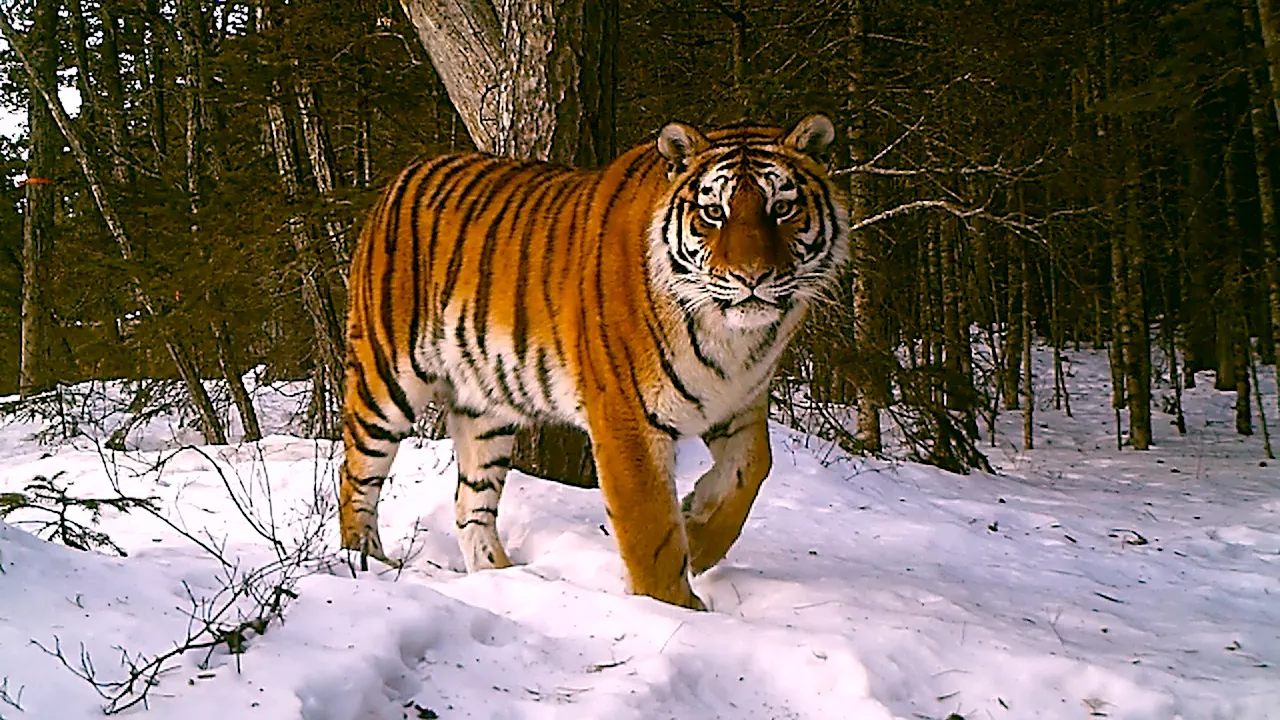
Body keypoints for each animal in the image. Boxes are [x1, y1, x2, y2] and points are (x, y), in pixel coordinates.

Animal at [340, 114, 855, 607]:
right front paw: (675, 608)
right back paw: (364, 562)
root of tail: (407, 172)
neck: (735, 340)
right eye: (714, 213)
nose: (752, 277)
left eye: (782, 208)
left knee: (472, 504)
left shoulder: (738, 401)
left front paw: (698, 536)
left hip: (485, 406)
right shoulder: (627, 418)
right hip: (385, 379)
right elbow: (650, 529)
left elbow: (751, 471)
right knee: (356, 476)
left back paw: (501, 577)